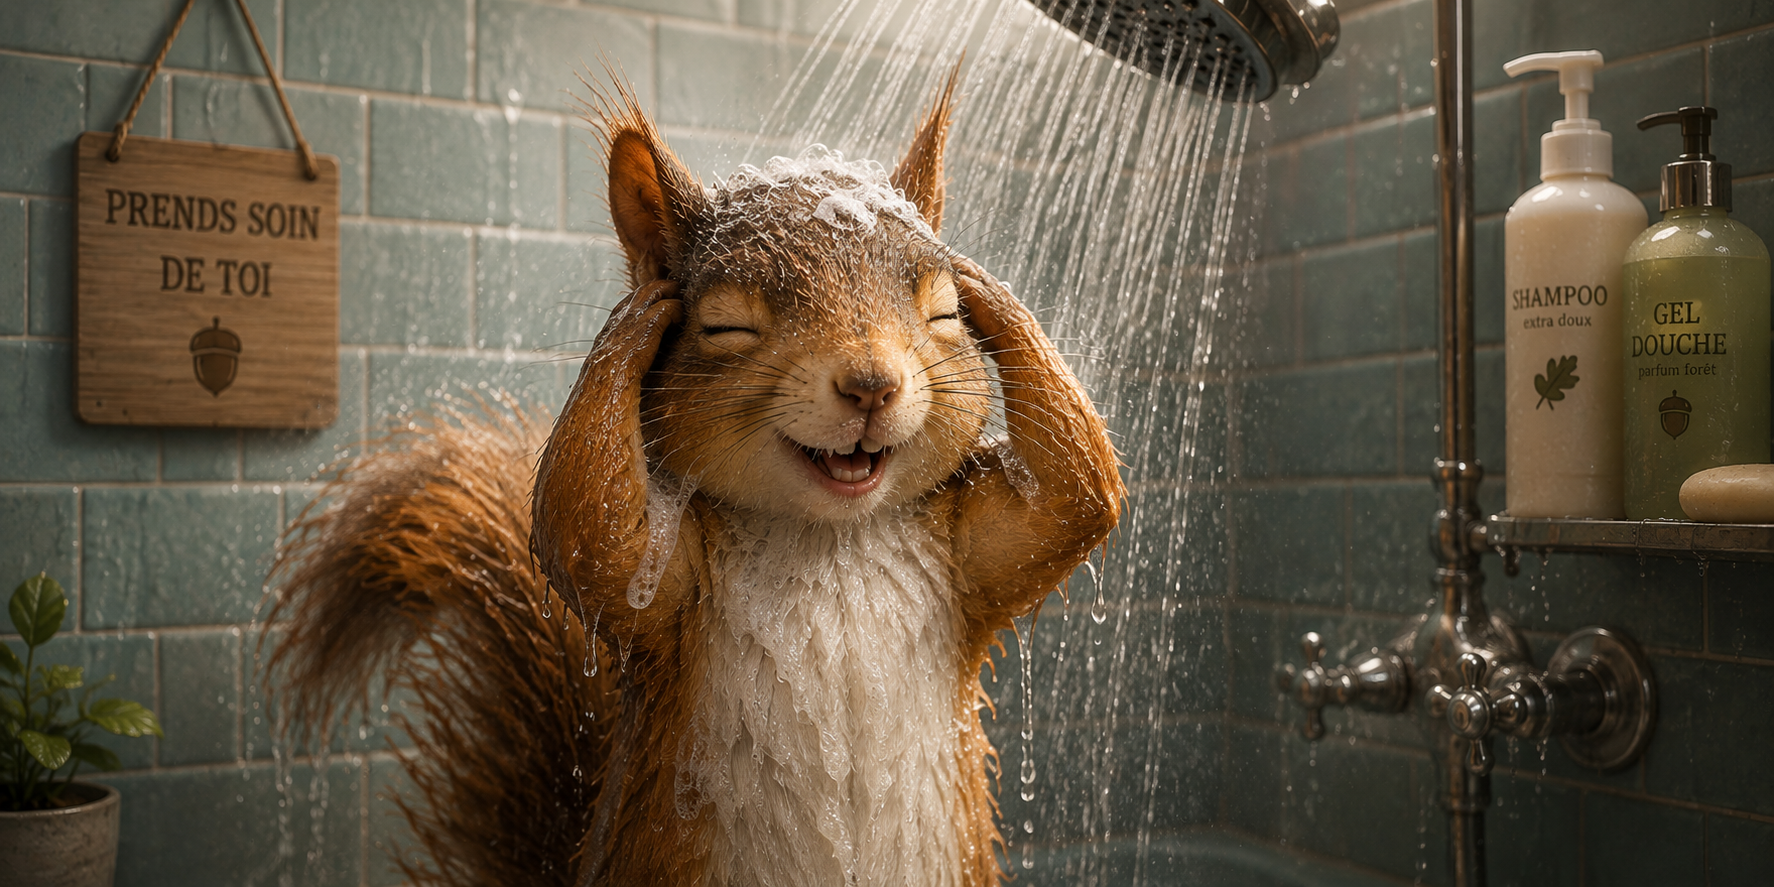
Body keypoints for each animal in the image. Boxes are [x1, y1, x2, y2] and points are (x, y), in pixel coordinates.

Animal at [266, 71, 1122, 887]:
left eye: (944, 314)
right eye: (724, 326)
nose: (871, 385)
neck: (830, 535)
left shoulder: (973, 548)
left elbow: (1070, 499)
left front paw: (987, 280)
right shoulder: (671, 578)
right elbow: (590, 531)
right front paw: (642, 307)